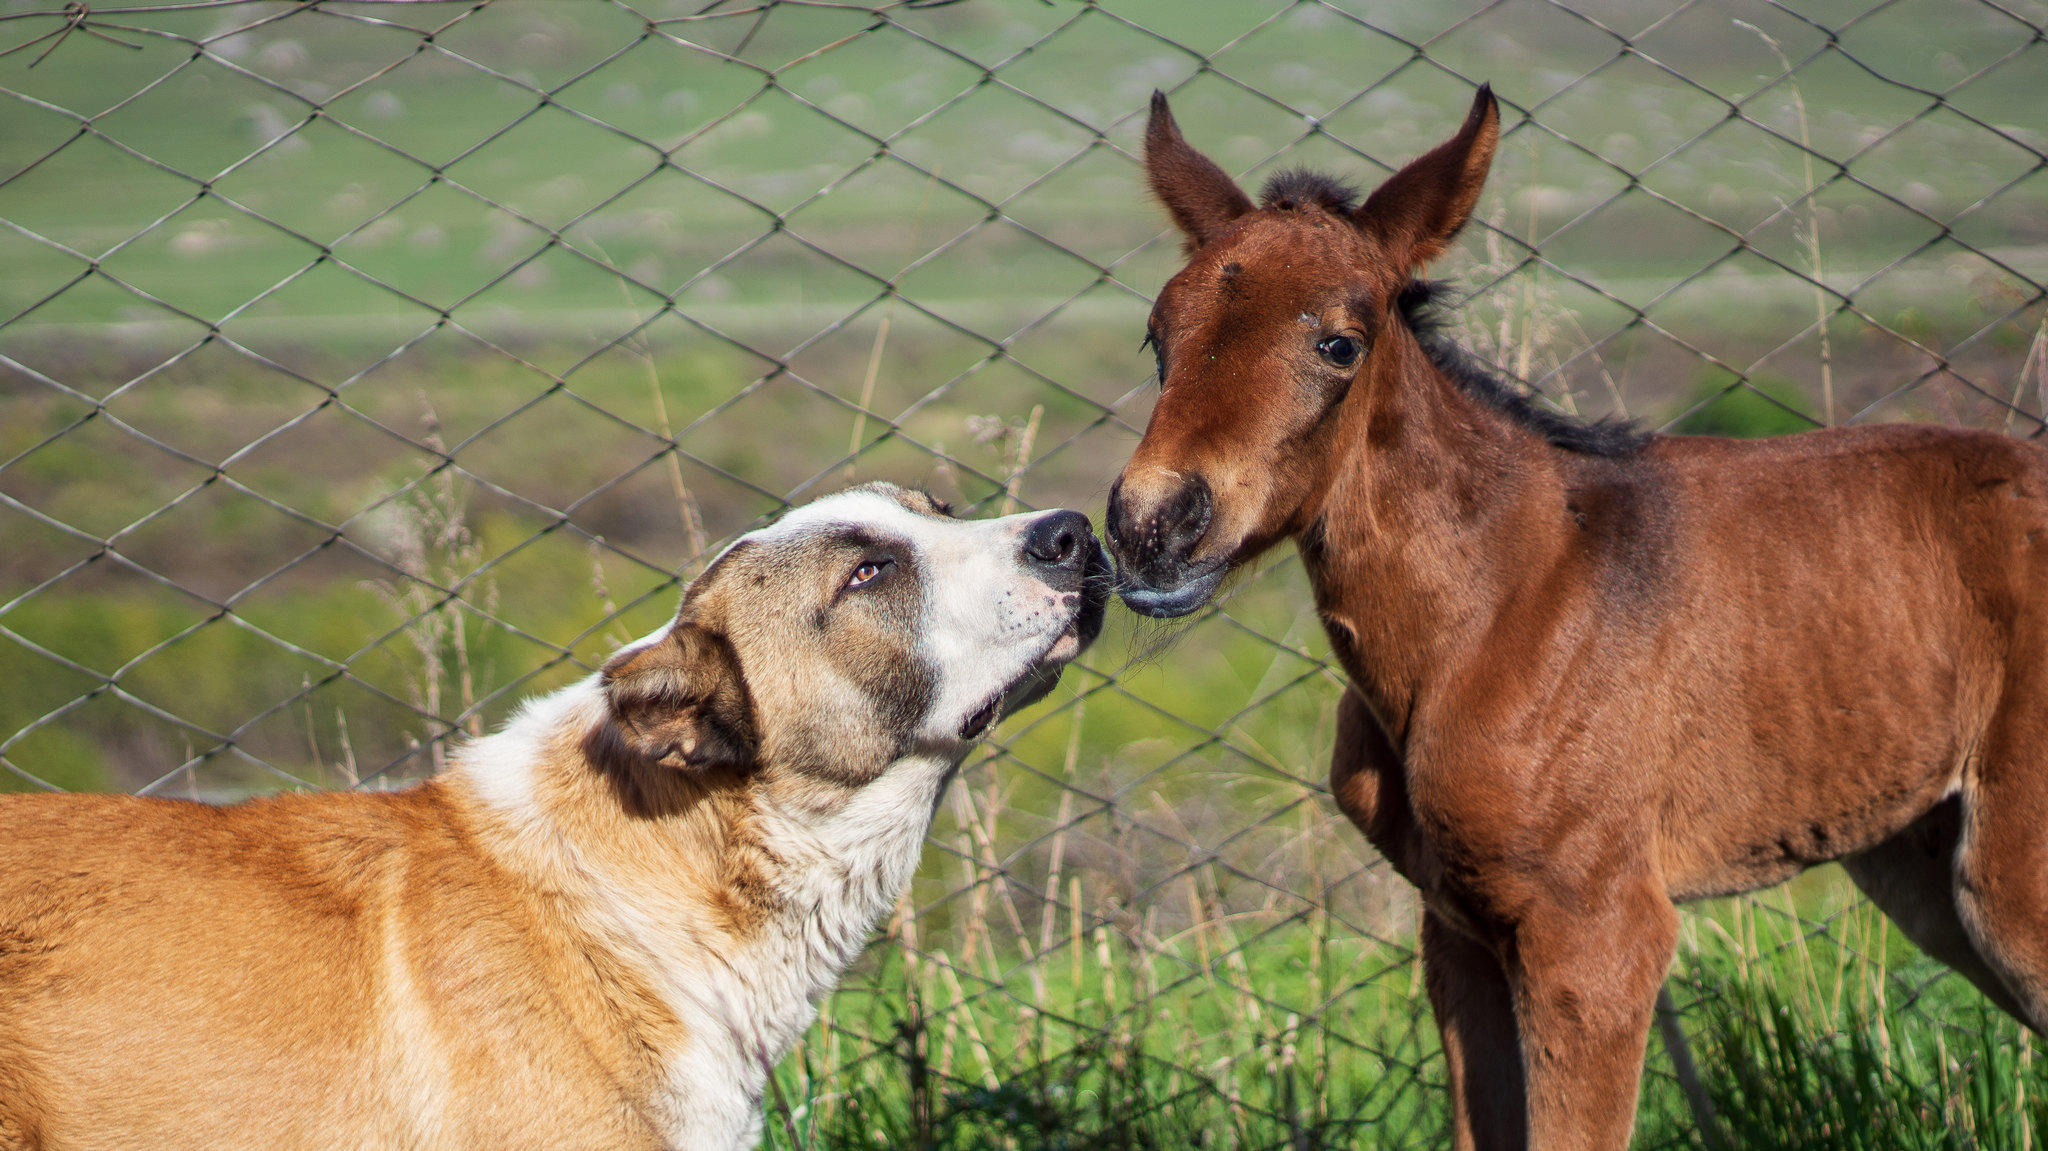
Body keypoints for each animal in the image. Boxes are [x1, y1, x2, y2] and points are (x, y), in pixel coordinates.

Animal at [1114, 82, 2048, 1146]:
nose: (1150, 525)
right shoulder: (1459, 935)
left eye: (1339, 343)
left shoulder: (1597, 936)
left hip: (2014, 874)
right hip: (1921, 865)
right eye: (1158, 335)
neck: (1492, 606)